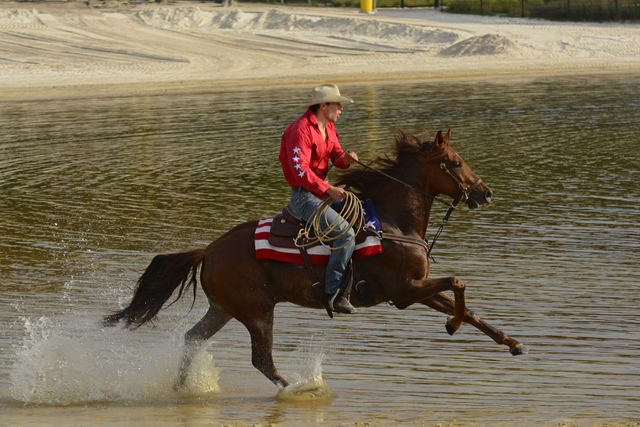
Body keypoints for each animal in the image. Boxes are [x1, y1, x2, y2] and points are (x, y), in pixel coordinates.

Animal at [104, 130, 524, 392]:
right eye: (455, 162)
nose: (485, 192)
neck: (393, 222)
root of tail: (209, 249)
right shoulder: (405, 292)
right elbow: (458, 283)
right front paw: (453, 325)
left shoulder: (419, 289)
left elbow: (470, 309)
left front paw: (511, 342)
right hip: (257, 311)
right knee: (261, 359)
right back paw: (300, 389)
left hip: (223, 309)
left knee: (192, 340)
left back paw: (181, 389)